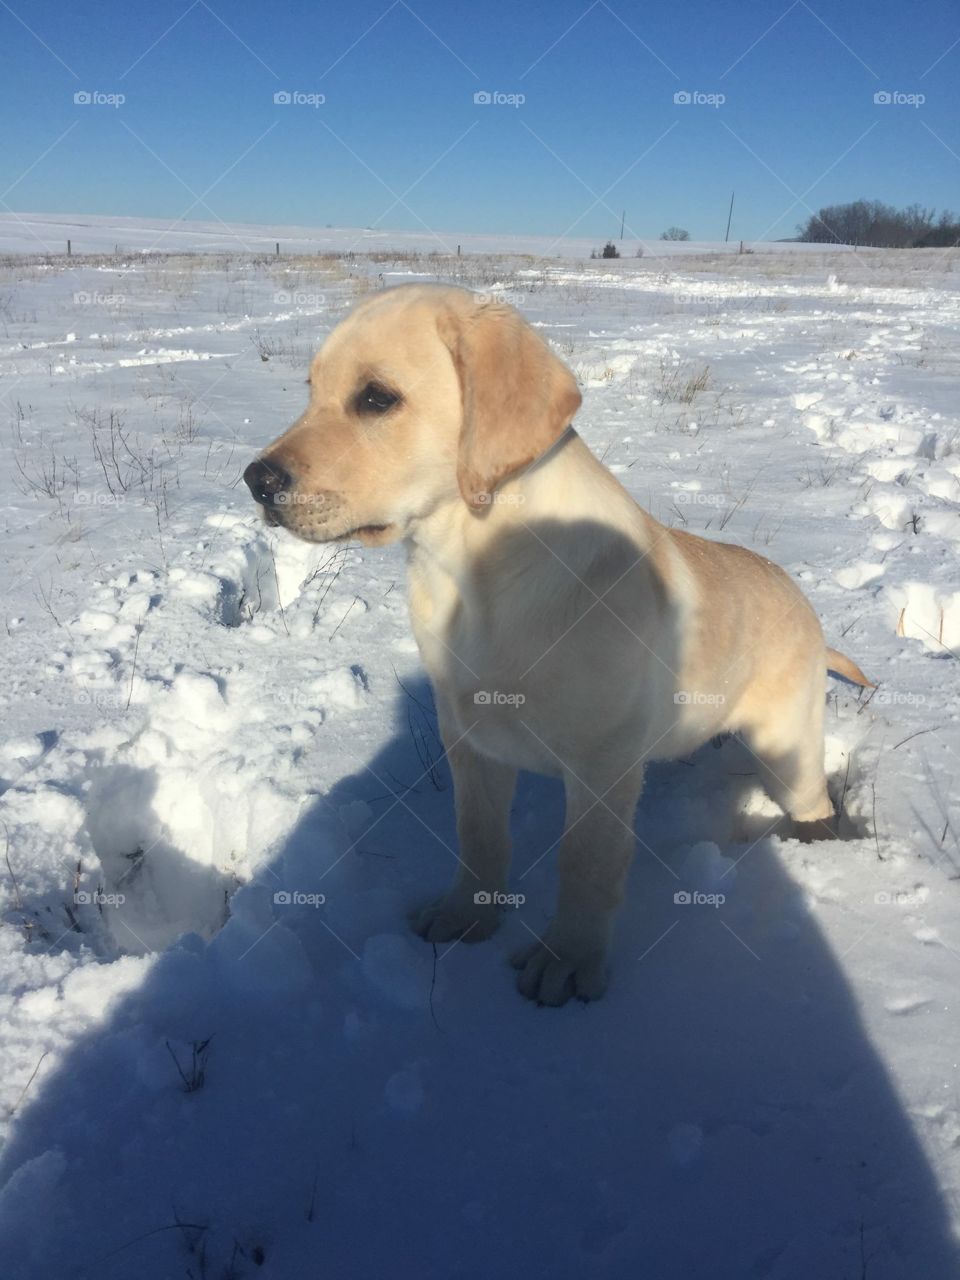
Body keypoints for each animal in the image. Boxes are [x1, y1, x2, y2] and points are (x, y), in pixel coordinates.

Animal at [244, 285, 875, 1003]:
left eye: (376, 397)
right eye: (311, 389)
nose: (256, 481)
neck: (471, 569)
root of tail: (807, 610)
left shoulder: (602, 768)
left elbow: (586, 864)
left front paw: (567, 961)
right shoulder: (471, 742)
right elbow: (479, 836)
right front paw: (466, 916)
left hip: (787, 748)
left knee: (815, 805)